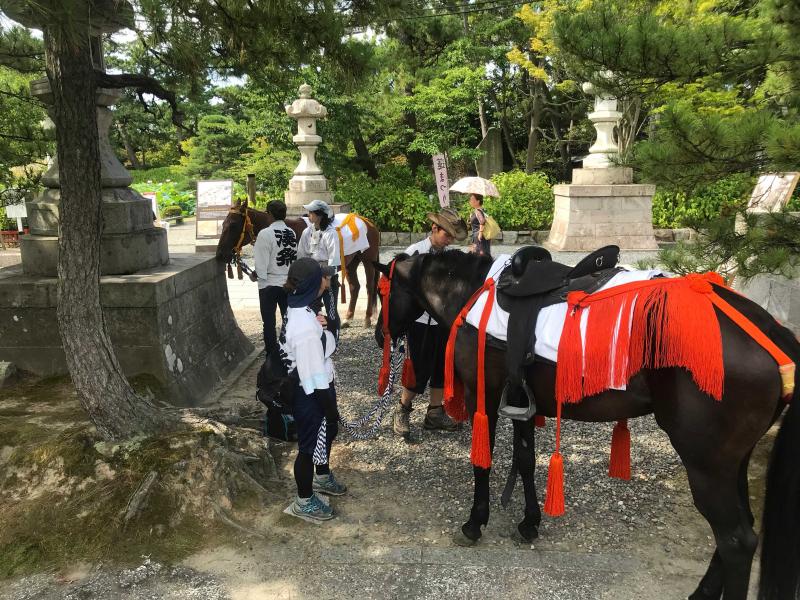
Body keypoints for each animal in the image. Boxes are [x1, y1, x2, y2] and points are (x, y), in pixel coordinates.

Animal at [216, 199, 381, 327]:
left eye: (233, 225)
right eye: (223, 224)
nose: (220, 254)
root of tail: (368, 222)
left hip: (368, 260)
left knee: (370, 287)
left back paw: (367, 318)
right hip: (352, 262)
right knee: (355, 287)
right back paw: (348, 318)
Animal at [375, 250, 800, 600]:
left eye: (382, 293)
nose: (380, 334)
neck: (475, 292)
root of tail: (773, 332)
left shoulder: (487, 397)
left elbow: (483, 462)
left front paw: (475, 522)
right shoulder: (520, 397)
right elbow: (525, 462)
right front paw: (529, 523)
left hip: (706, 465)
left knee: (736, 541)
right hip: (732, 462)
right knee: (743, 531)